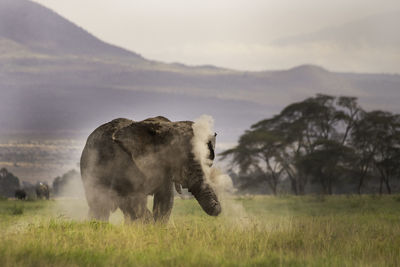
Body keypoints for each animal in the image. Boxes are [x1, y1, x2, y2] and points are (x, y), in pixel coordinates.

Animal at [79, 116, 220, 223]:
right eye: (176, 154)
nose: (217, 207)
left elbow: (165, 200)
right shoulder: (125, 163)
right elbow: (135, 201)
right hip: (89, 168)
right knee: (100, 204)